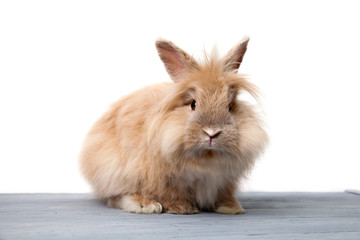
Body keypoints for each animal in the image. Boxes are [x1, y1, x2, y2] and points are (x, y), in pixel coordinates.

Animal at [79, 36, 268, 215]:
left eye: (229, 106)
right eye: (193, 104)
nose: (211, 133)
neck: (206, 157)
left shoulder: (224, 180)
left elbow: (223, 194)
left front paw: (230, 207)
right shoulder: (162, 178)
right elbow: (169, 193)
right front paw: (181, 207)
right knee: (115, 196)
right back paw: (144, 204)